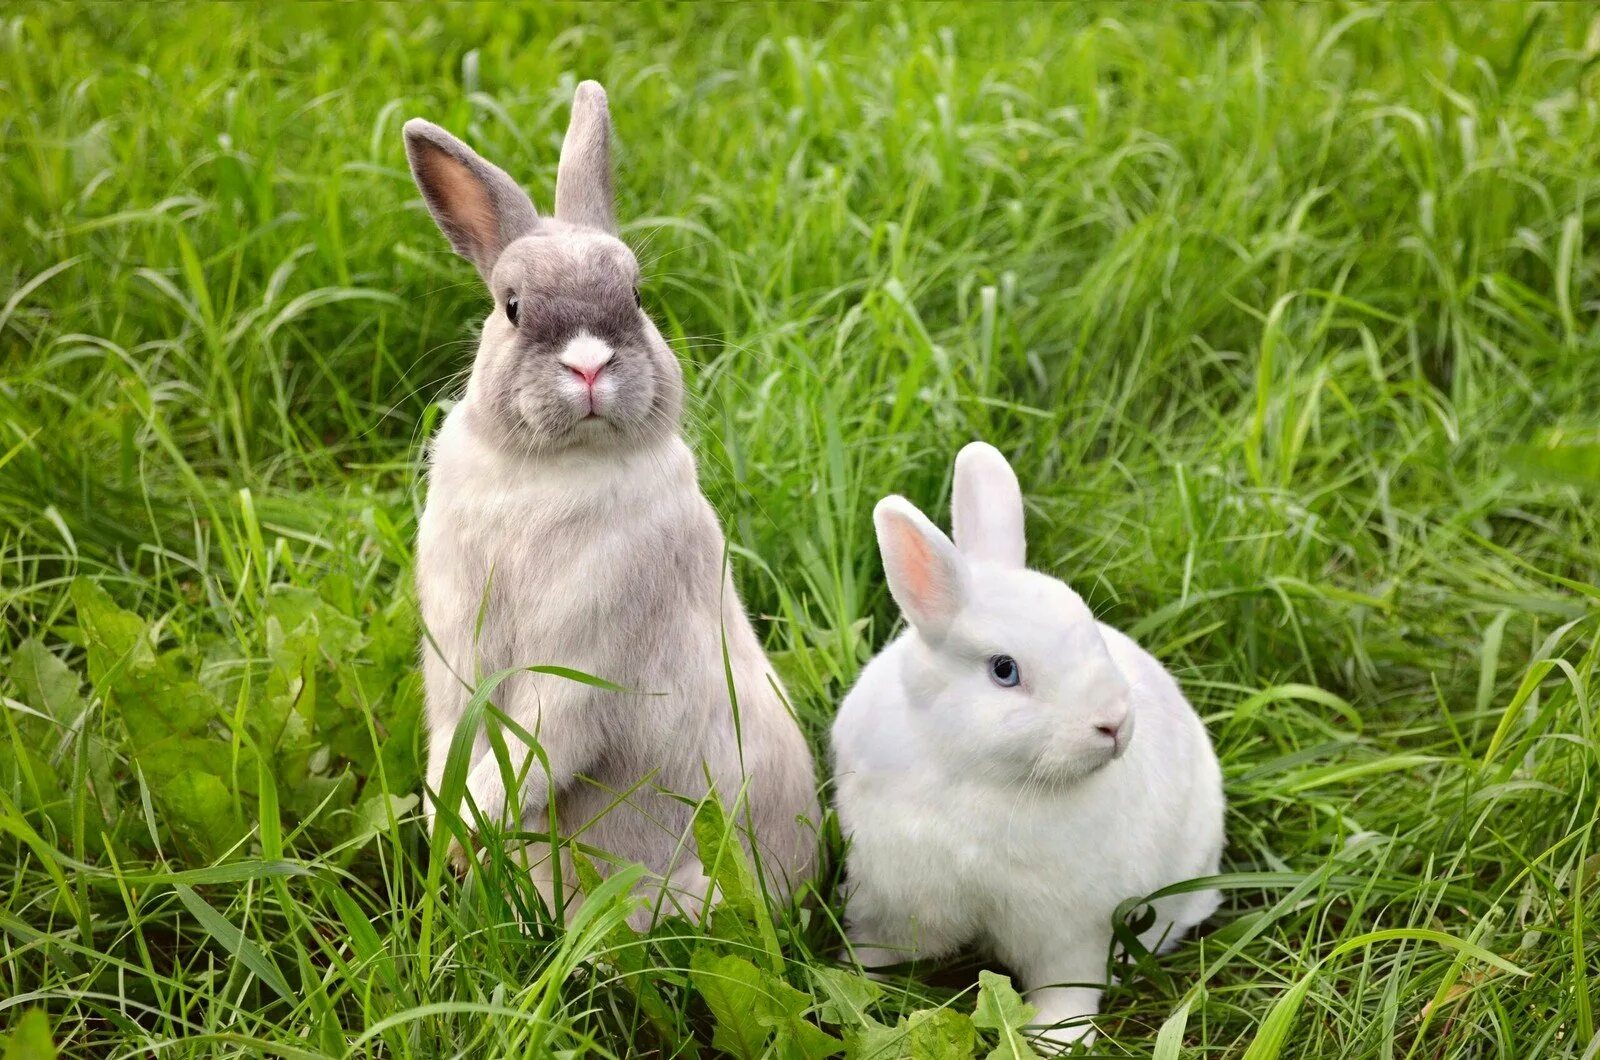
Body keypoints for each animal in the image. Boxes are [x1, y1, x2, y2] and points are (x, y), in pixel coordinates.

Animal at [406, 83, 819, 928]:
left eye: (635, 295)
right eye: (512, 307)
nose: (590, 365)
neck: (550, 470)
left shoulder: (581, 669)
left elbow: (530, 753)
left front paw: (464, 832)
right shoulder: (456, 659)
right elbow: (454, 746)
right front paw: (449, 840)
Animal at [825, 438, 1222, 1043]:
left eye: (1091, 631)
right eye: (1004, 670)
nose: (1114, 723)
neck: (975, 774)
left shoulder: (1069, 928)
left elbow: (1067, 987)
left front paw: (1055, 1039)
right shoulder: (888, 897)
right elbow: (877, 944)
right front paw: (852, 977)